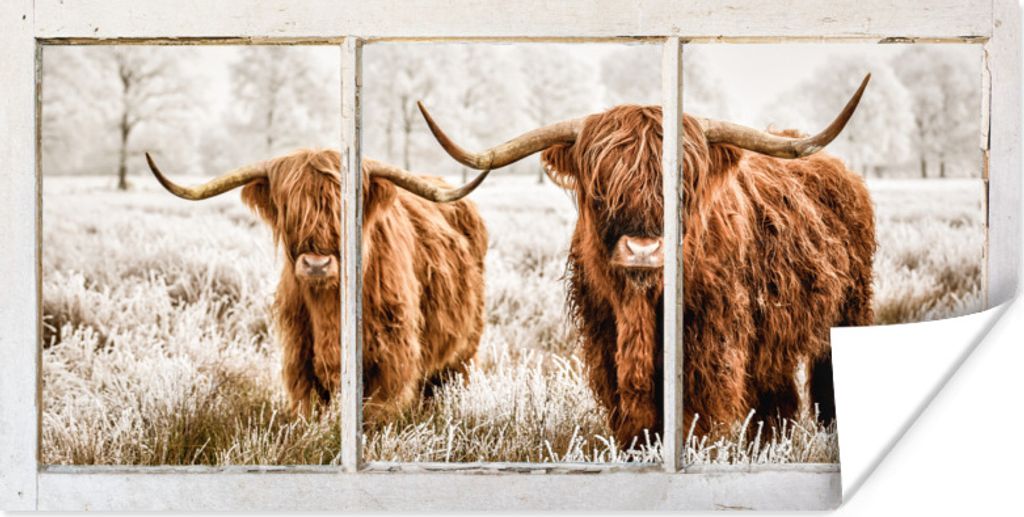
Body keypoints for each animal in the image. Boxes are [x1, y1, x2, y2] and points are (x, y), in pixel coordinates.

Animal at [145, 149, 489, 424]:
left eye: (344, 210)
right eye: (290, 209)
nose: (316, 264)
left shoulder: (393, 361)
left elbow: (377, 416)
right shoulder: (300, 362)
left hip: (463, 352)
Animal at [416, 75, 875, 445]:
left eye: (682, 186)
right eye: (602, 187)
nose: (642, 250)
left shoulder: (711, 343)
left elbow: (697, 413)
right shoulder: (605, 339)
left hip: (850, 308)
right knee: (777, 396)